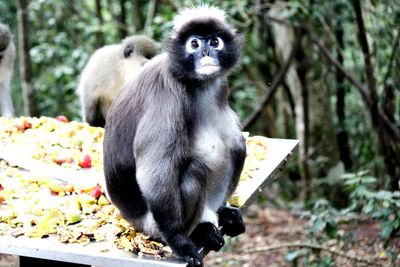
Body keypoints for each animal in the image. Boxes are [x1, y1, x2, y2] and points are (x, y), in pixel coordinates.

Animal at [103, 6, 247, 267]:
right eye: (194, 44)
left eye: (214, 42)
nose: (206, 52)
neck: (196, 83)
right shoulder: (167, 97)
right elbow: (154, 171)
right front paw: (180, 242)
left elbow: (233, 140)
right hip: (152, 225)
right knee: (194, 171)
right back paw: (198, 230)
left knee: (237, 145)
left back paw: (218, 213)